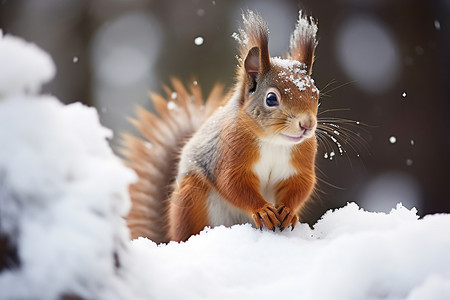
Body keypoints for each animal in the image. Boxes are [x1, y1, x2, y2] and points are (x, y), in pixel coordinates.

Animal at [123, 10, 320, 243]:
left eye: (316, 95)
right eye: (271, 99)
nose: (307, 125)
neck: (274, 142)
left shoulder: (302, 160)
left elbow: (301, 185)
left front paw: (288, 211)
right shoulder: (229, 152)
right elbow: (232, 183)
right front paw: (262, 209)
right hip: (191, 196)